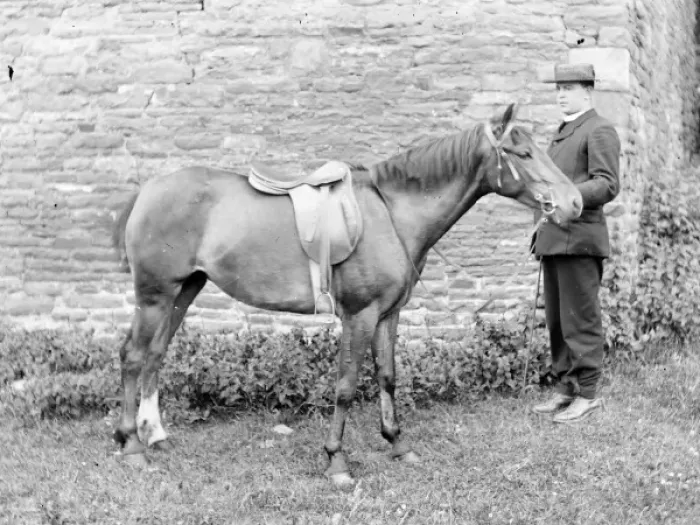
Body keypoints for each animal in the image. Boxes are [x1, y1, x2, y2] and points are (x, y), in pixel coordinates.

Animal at [110, 103, 582, 487]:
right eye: (523, 154)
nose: (574, 202)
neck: (391, 213)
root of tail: (148, 191)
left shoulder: (389, 315)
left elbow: (387, 376)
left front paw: (397, 444)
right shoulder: (360, 315)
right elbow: (345, 386)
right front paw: (336, 461)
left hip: (184, 290)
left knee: (155, 355)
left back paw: (155, 434)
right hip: (155, 295)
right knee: (133, 356)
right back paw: (131, 444)